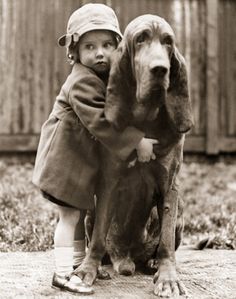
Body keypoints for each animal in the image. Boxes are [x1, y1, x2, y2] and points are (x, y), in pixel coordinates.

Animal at [76, 14, 193, 299]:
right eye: (140, 39)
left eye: (168, 41)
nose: (160, 69)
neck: (146, 118)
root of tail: (125, 258)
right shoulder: (109, 182)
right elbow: (98, 237)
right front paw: (88, 269)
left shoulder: (169, 186)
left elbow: (166, 243)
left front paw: (168, 277)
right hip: (89, 208)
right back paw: (103, 267)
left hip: (181, 210)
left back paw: (151, 263)